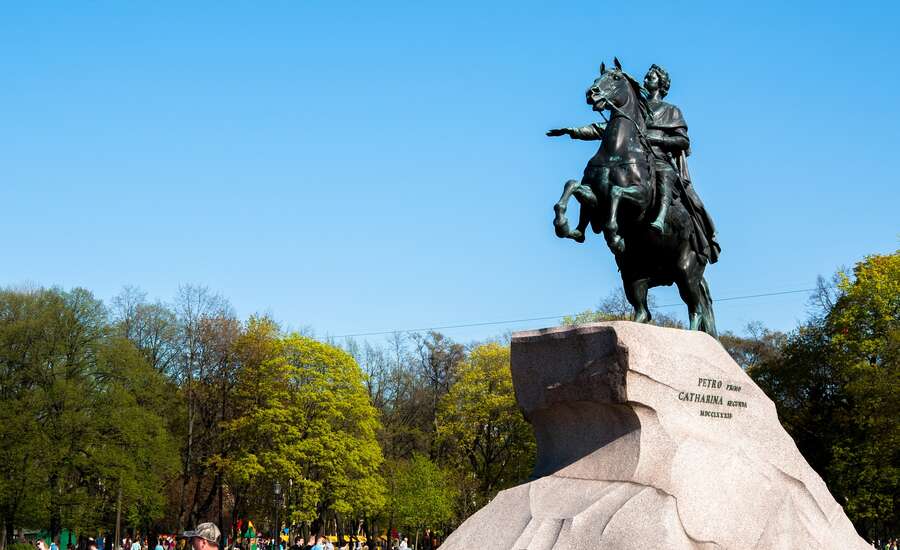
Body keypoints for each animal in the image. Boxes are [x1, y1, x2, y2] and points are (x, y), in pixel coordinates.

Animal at [548, 59, 716, 336]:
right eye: (597, 78)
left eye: (615, 78)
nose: (592, 93)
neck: (617, 152)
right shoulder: (594, 197)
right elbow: (572, 186)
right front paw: (566, 227)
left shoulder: (639, 202)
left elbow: (617, 193)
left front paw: (615, 236)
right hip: (633, 275)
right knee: (643, 312)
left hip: (686, 271)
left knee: (697, 309)